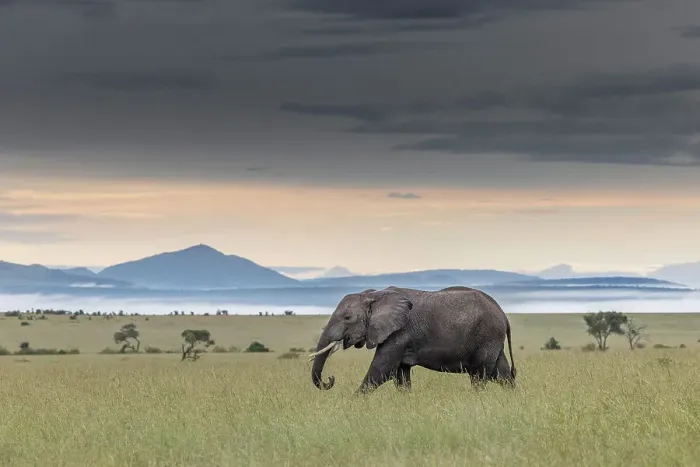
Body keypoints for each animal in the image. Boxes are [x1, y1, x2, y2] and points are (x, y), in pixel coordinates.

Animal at [309, 285, 516, 394]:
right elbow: (400, 375)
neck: (373, 294)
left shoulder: (399, 333)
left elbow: (381, 370)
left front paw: (353, 403)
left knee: (480, 375)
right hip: (491, 339)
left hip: (486, 335)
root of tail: (503, 315)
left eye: (347, 318)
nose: (330, 379)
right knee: (501, 374)